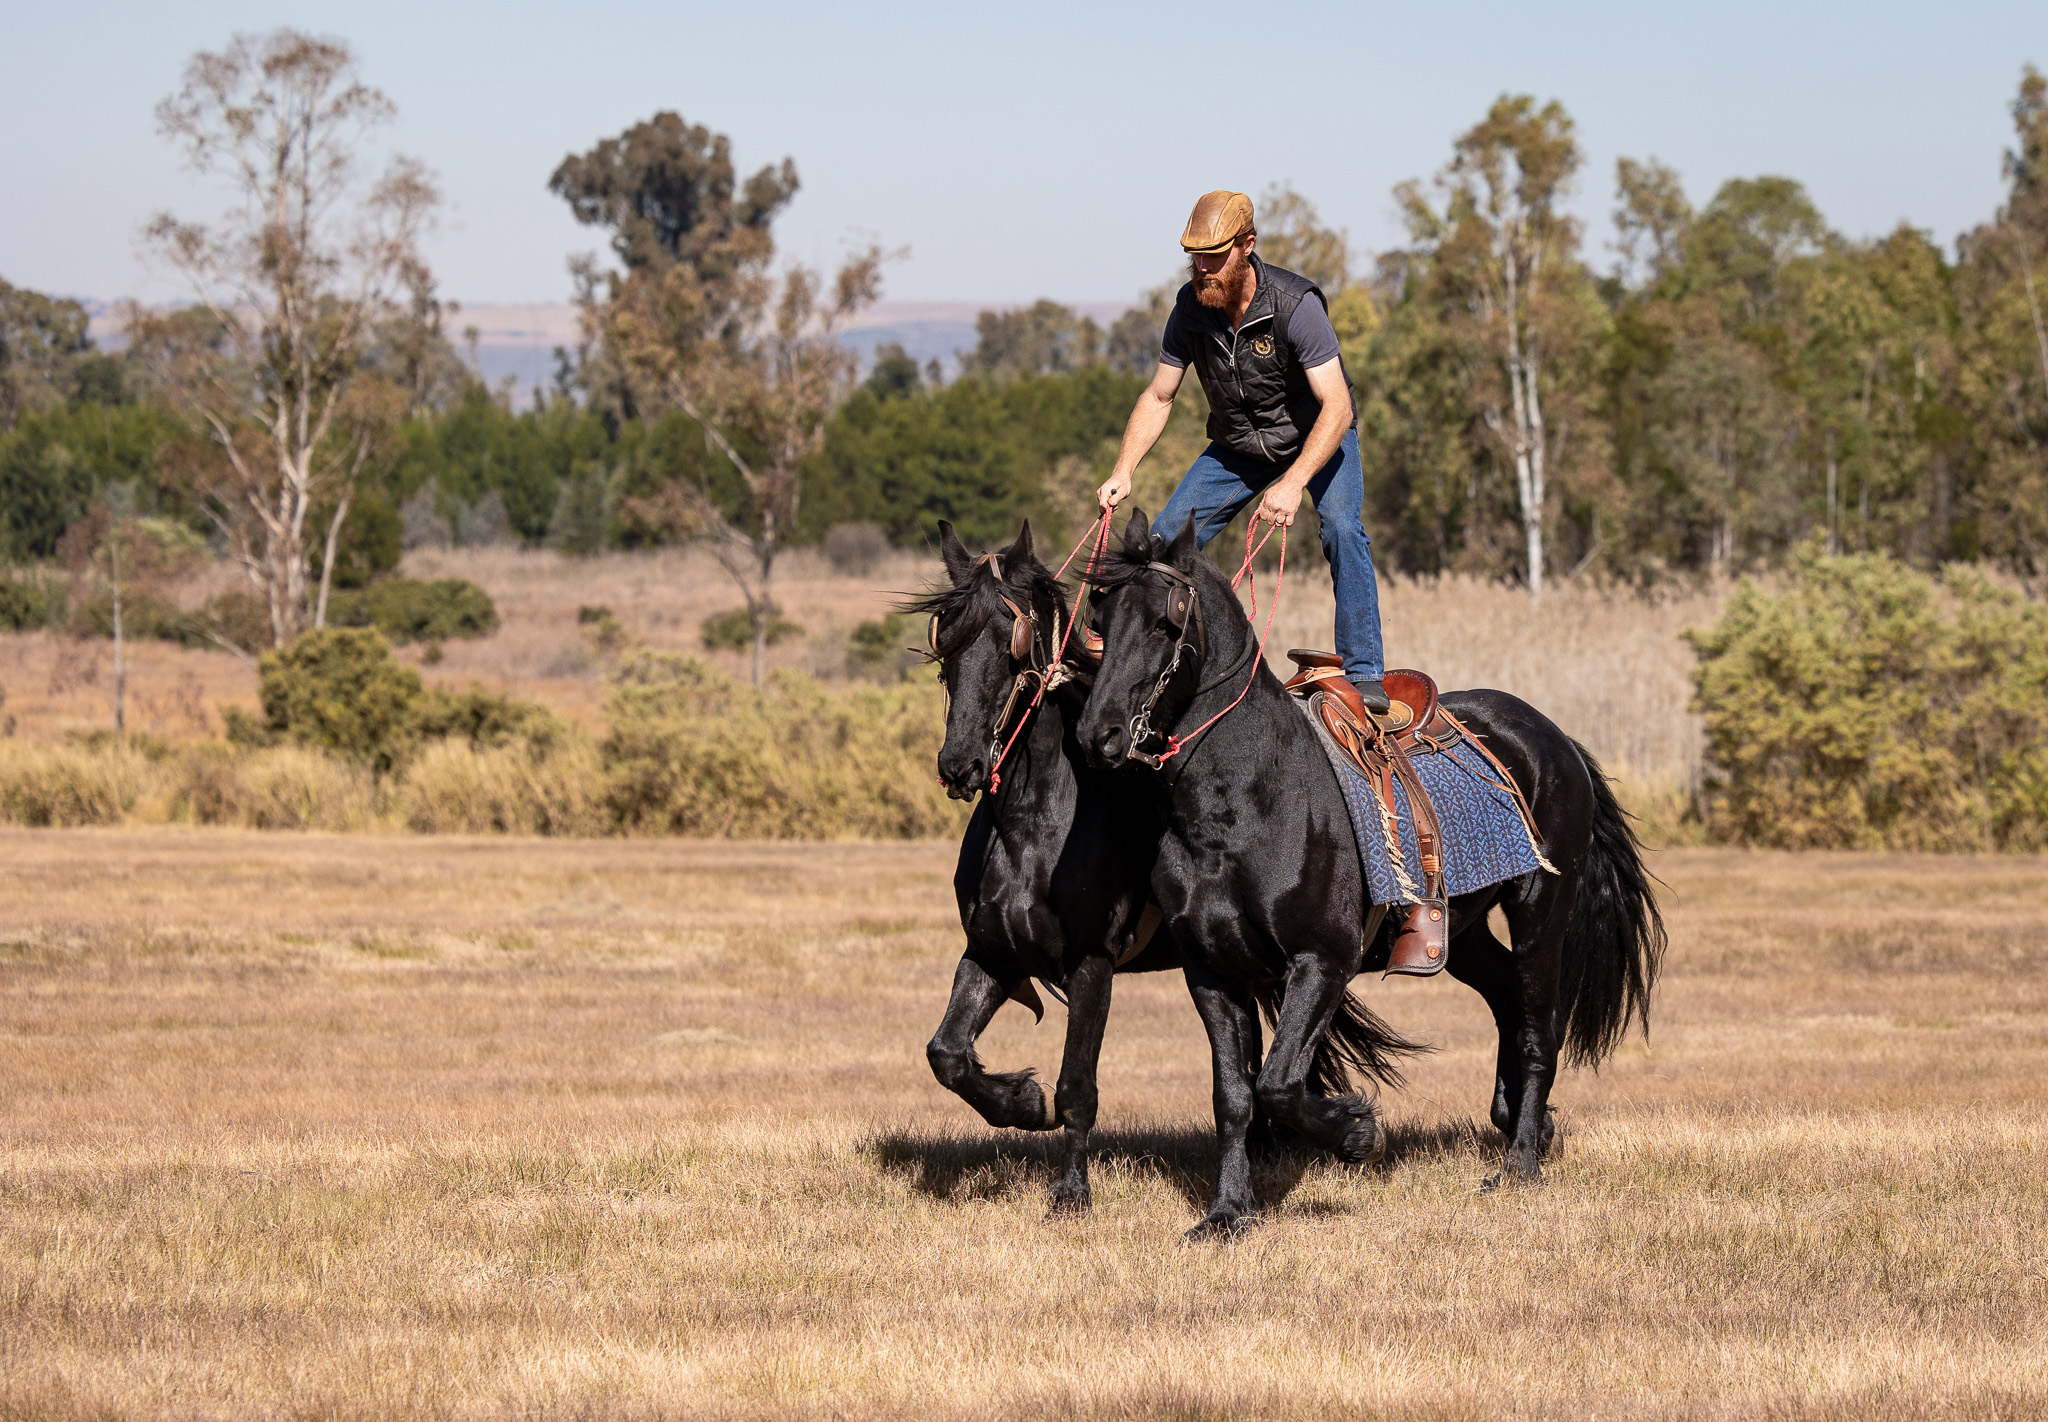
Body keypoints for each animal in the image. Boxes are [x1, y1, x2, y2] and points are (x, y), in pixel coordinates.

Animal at [914, 519, 1420, 1212]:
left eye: (1010, 640)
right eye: (947, 641)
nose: (958, 763)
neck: (1031, 819)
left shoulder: (1091, 964)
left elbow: (1077, 1086)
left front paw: (1071, 1191)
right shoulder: (993, 950)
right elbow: (948, 1054)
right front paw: (1020, 1101)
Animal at [1075, 509, 1666, 1238]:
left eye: (1165, 623)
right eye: (1100, 618)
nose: (1097, 735)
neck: (1243, 799)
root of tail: (1554, 739)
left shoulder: (1321, 961)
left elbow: (1278, 1082)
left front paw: (1355, 1131)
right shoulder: (1211, 972)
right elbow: (1235, 1095)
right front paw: (1228, 1213)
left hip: (1542, 911)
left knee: (1536, 1025)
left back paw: (1520, 1161)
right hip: (1462, 933)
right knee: (1507, 999)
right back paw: (1518, 1120)